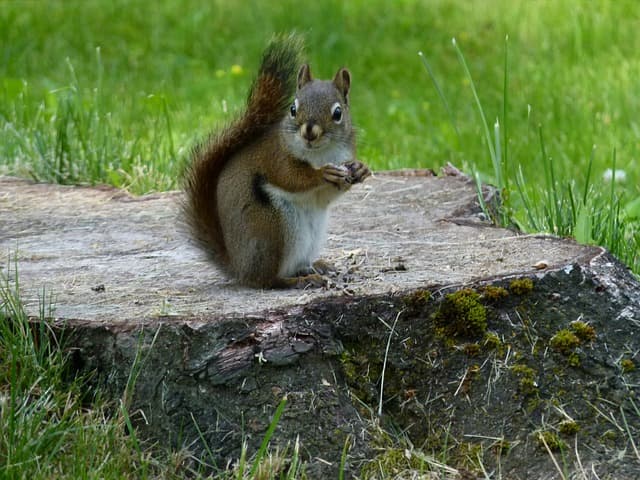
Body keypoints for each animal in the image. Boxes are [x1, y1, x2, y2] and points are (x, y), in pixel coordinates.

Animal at [182, 35, 371, 288]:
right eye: (293, 109)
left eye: (338, 113)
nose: (309, 132)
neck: (320, 153)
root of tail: (239, 267)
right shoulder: (276, 157)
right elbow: (291, 177)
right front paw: (321, 174)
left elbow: (327, 195)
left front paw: (360, 169)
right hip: (272, 229)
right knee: (267, 280)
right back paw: (299, 279)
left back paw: (318, 266)